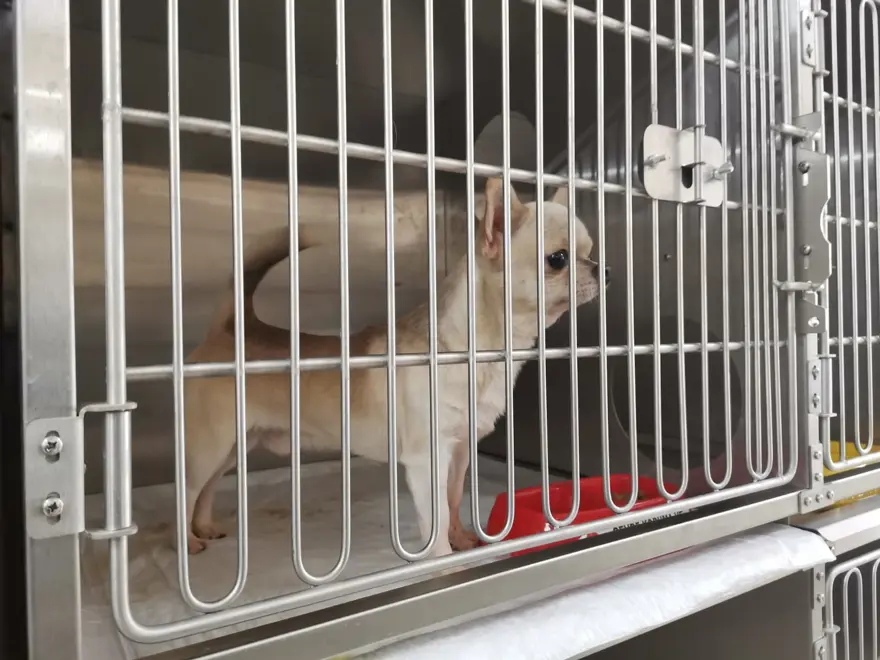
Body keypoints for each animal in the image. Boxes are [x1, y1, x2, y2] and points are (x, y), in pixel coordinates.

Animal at [182, 177, 606, 556]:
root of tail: (231, 326)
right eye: (558, 259)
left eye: (590, 251)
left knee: (207, 488)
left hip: (236, 444)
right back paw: (187, 541)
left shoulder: (459, 451)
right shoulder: (427, 459)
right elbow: (435, 519)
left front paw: (461, 540)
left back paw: (204, 526)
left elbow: (453, 501)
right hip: (211, 444)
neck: (475, 351)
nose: (602, 268)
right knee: (189, 489)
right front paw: (443, 561)